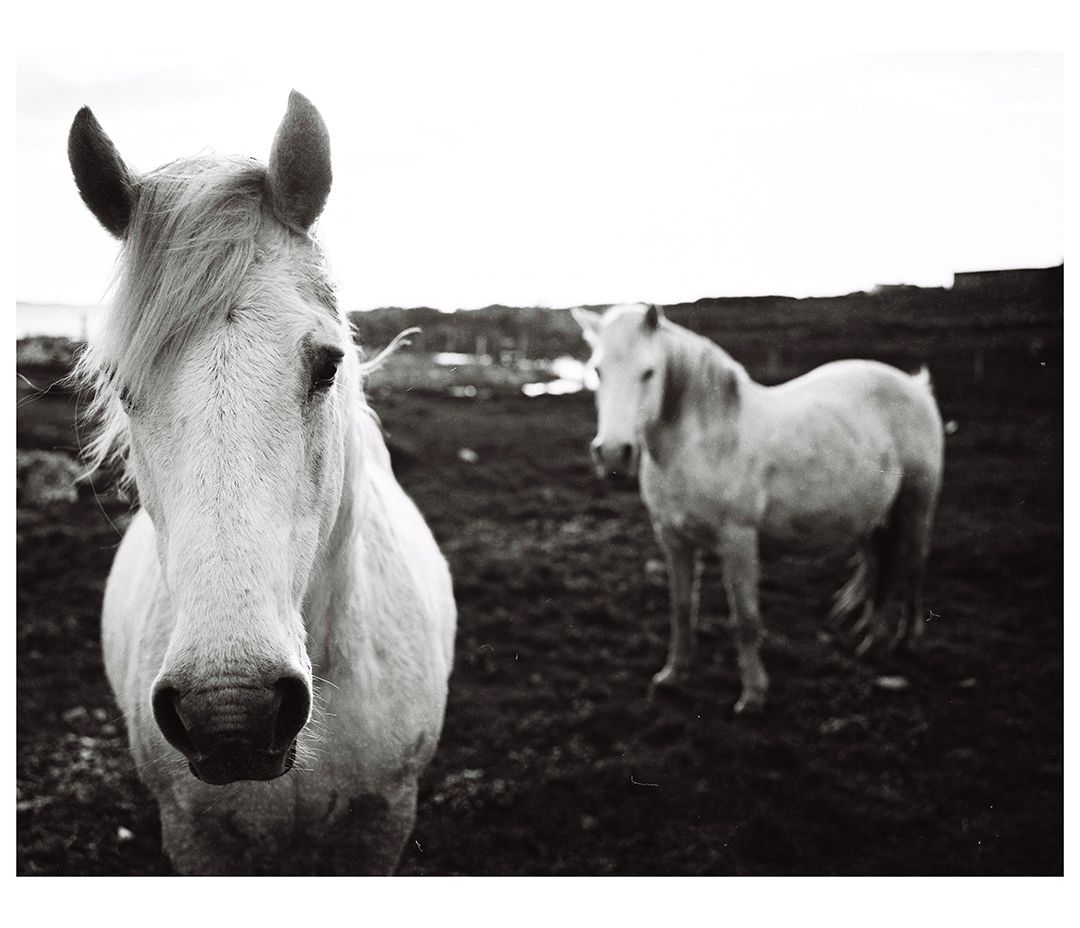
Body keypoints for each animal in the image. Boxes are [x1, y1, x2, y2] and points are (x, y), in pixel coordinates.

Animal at [572, 303, 943, 715]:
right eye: (598, 371)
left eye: (648, 372)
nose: (612, 454)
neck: (702, 445)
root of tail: (915, 387)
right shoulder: (673, 539)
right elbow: (682, 610)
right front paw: (672, 676)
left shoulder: (737, 540)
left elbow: (746, 620)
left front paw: (752, 696)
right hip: (872, 515)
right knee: (880, 566)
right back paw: (868, 634)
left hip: (917, 505)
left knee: (912, 566)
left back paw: (905, 639)